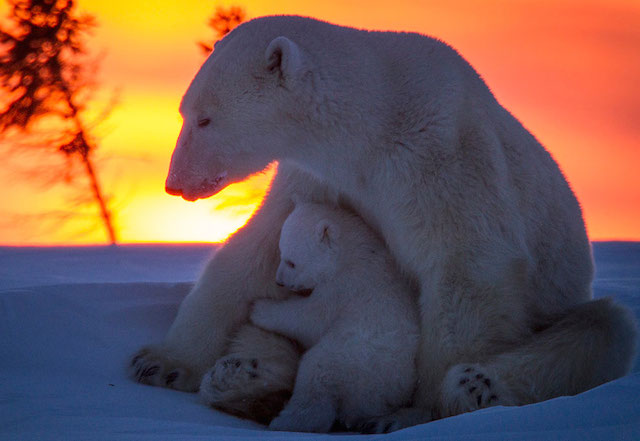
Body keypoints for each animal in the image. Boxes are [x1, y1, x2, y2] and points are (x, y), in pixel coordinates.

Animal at [132, 15, 636, 428]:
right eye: (185, 112)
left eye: (206, 119)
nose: (174, 184)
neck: (375, 125)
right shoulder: (321, 177)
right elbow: (253, 252)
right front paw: (160, 362)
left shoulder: (445, 161)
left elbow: (468, 270)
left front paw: (413, 413)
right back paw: (244, 377)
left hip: (561, 301)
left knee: (602, 329)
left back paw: (478, 384)